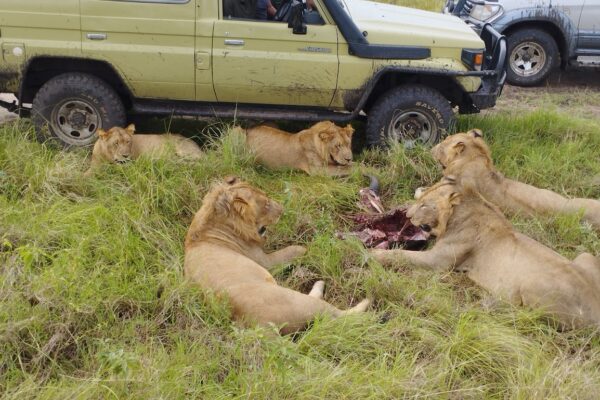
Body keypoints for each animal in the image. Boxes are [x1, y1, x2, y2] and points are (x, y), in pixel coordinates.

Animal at [184, 177, 370, 332]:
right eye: (266, 204)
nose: (282, 209)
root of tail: (260, 326)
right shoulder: (265, 261)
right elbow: (294, 249)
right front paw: (309, 247)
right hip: (296, 300)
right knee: (340, 314)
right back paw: (363, 300)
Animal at [372, 178, 600, 328]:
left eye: (425, 206)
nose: (408, 216)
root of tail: (595, 304)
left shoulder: (437, 262)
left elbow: (401, 256)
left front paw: (372, 254)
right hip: (586, 256)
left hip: (532, 283)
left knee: (523, 314)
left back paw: (488, 303)